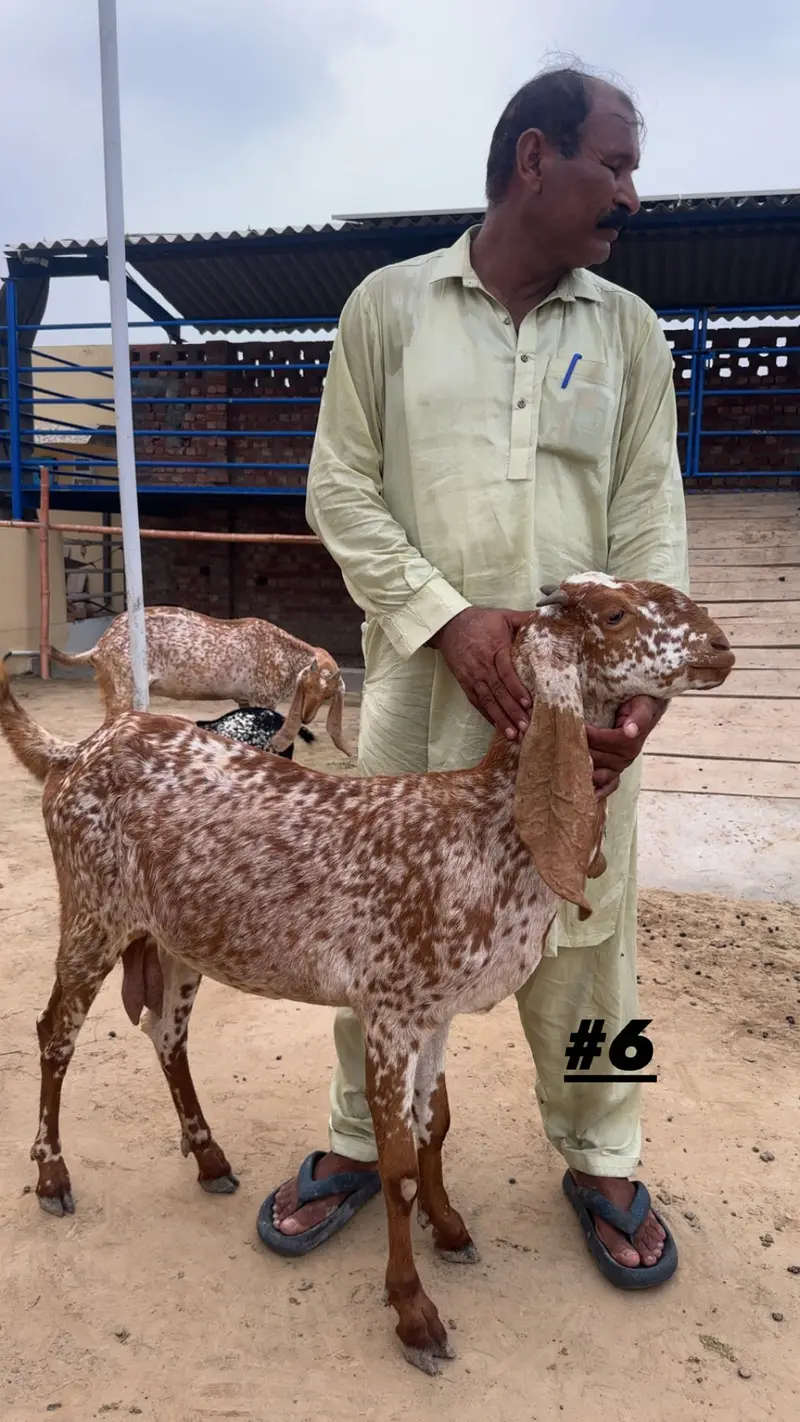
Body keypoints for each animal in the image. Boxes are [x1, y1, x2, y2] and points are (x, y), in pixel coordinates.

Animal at [49, 606, 354, 757]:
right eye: (312, 686)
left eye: (329, 696)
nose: (307, 716)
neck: (284, 652)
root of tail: (100, 646)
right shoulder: (263, 697)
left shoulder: (244, 700)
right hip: (124, 687)